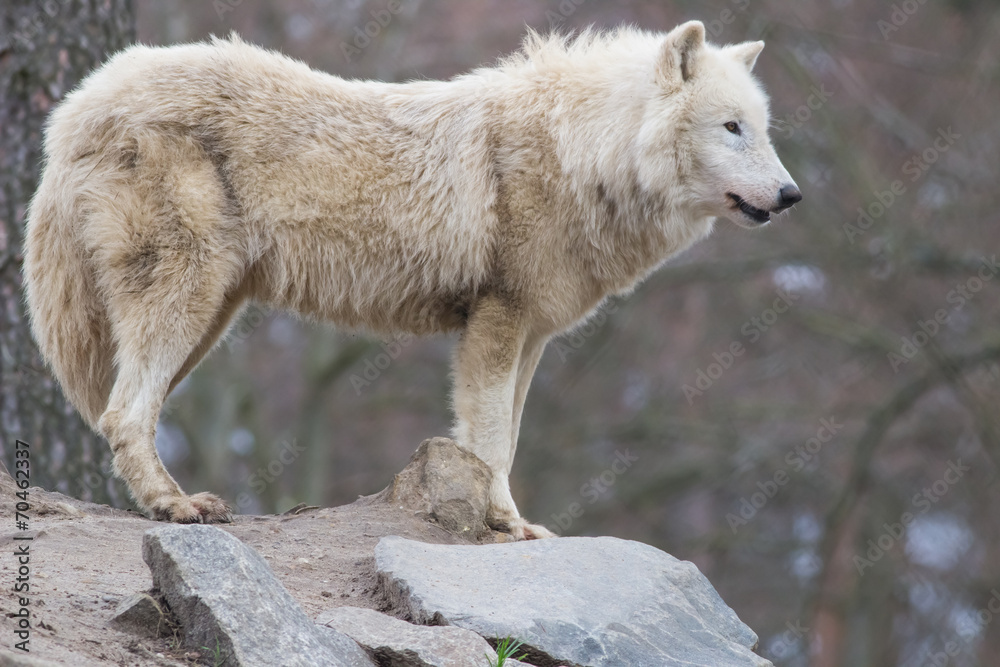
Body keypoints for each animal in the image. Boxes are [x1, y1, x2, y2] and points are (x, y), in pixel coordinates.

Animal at [23, 21, 800, 539]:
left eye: (763, 128)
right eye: (732, 128)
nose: (793, 195)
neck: (581, 153)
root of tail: (76, 107)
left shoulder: (532, 336)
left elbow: (506, 437)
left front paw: (511, 521)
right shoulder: (497, 321)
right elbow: (491, 442)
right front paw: (504, 525)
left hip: (208, 319)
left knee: (123, 411)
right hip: (187, 301)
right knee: (123, 413)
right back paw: (176, 506)